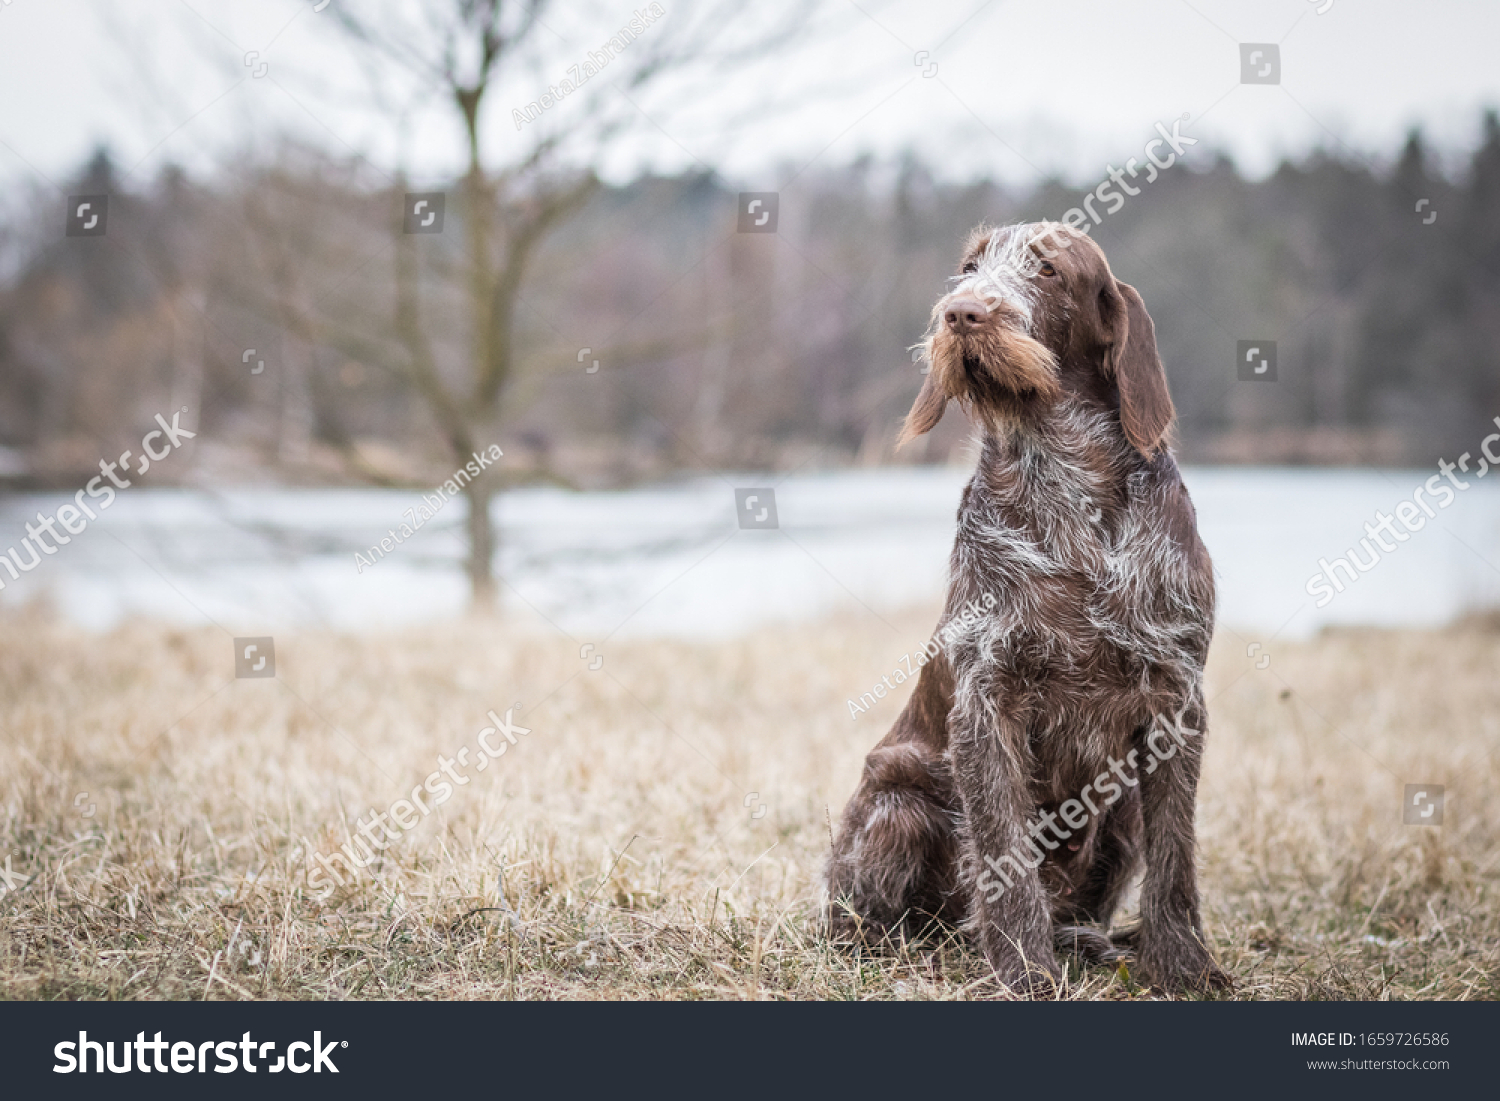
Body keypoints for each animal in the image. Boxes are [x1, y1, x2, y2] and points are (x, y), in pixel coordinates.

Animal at [822, 220, 1230, 996]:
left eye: (1047, 269)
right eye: (969, 268)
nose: (962, 314)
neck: (1063, 473)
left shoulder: (1176, 699)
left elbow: (1176, 858)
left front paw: (1184, 967)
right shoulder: (987, 702)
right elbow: (1005, 858)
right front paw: (1023, 972)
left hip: (1120, 808)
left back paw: (1084, 940)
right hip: (898, 802)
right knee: (878, 918)